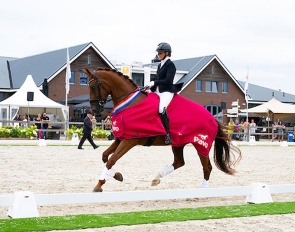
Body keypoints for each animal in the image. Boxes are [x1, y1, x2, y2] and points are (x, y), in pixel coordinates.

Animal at [84, 68, 243, 191]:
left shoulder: (130, 141)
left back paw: (202, 191)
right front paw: (116, 176)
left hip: (201, 145)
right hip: (178, 143)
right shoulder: (121, 138)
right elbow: (105, 156)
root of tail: (212, 118)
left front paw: (99, 185)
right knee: (179, 162)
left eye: (93, 87)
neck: (129, 103)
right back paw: (156, 178)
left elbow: (111, 160)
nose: (94, 110)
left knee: (207, 167)